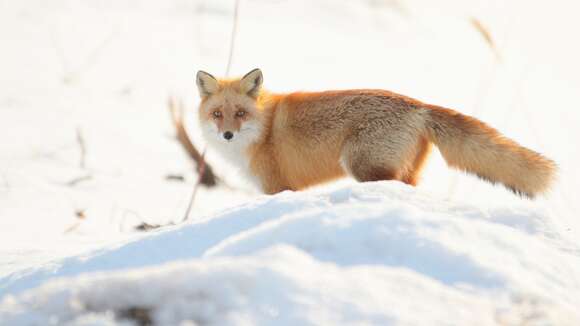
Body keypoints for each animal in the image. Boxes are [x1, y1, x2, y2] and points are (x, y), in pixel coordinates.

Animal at [196, 67, 556, 197]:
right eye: (217, 115)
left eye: (240, 114)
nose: (227, 135)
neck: (265, 129)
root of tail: (418, 105)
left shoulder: (277, 187)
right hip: (405, 171)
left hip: (362, 166)